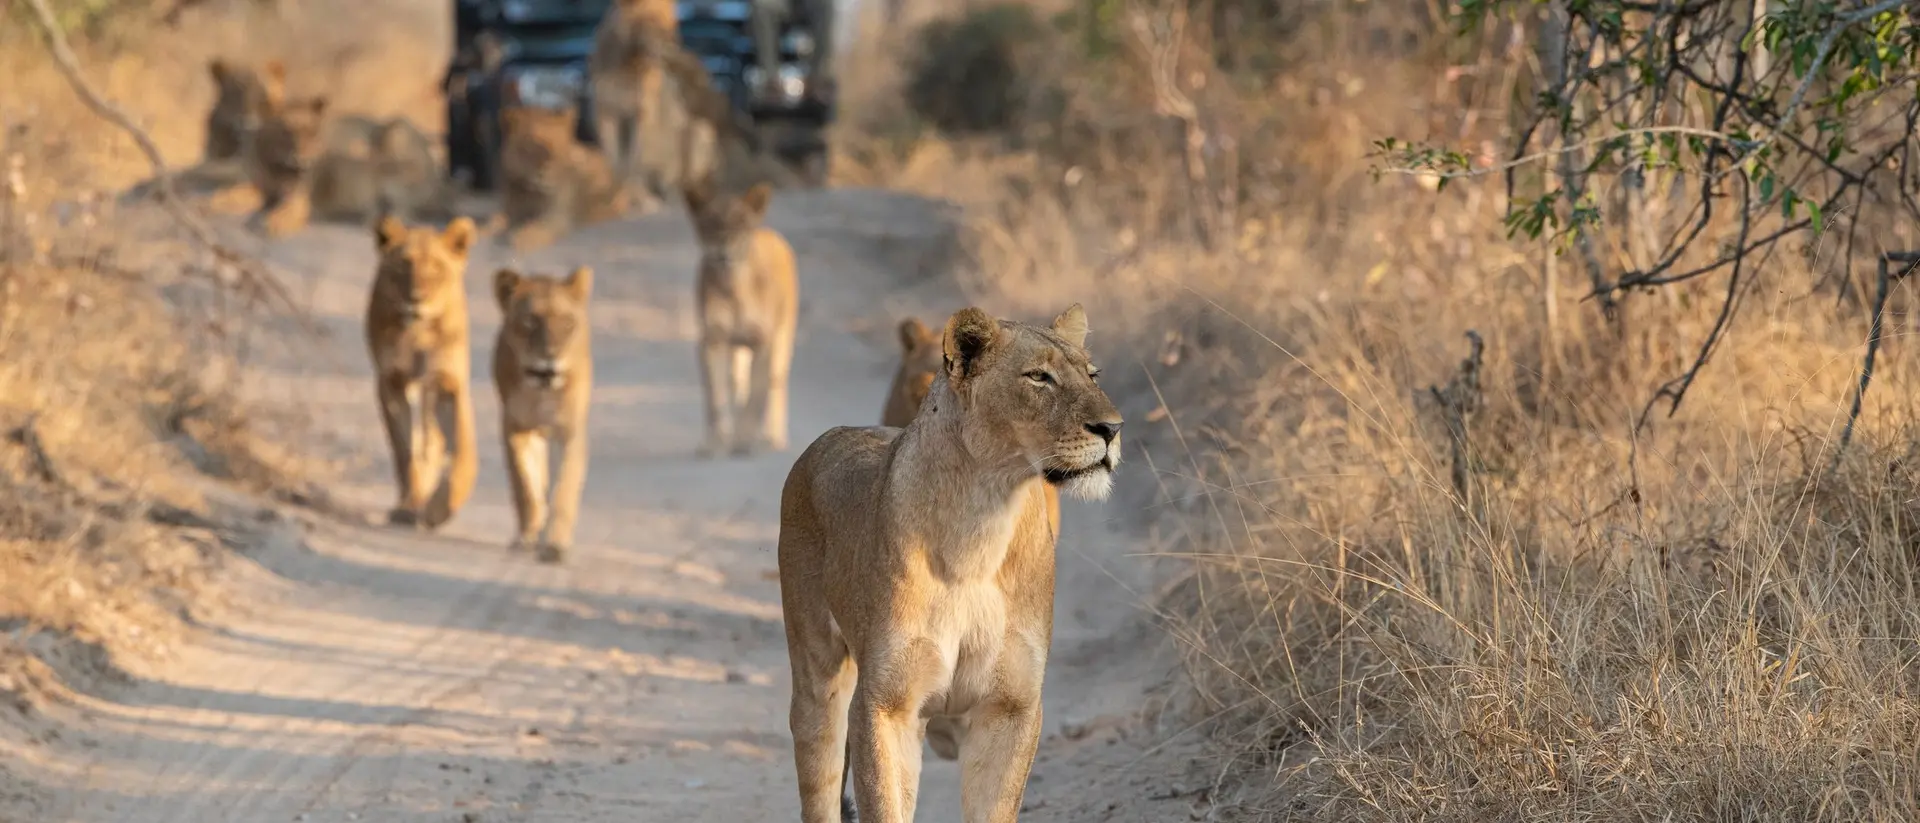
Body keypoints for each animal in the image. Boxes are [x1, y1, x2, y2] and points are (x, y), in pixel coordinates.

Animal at [366, 215, 482, 531]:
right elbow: (404, 451)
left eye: (437, 269)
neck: (418, 330)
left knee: (434, 440)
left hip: (432, 391)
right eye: (403, 265)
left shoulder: (448, 382)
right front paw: (409, 506)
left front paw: (440, 509)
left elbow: (462, 454)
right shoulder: (391, 381)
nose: (416, 298)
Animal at [491, 266, 595, 565]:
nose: (550, 359)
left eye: (567, 322)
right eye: (530, 320)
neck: (541, 389)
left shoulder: (570, 432)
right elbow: (524, 487)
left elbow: (565, 488)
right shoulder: (514, 427)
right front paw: (526, 536)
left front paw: (555, 545)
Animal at [496, 105, 631, 252]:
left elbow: (537, 229)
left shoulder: (557, 217)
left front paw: (520, 238)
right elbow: (498, 222)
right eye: (531, 143)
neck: (532, 192)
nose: (548, 170)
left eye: (558, 143)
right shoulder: (510, 212)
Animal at [687, 178, 797, 458]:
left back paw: (772, 438)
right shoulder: (711, 340)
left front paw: (744, 440)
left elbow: (756, 396)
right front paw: (715, 442)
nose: (722, 249)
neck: (732, 287)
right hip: (736, 348)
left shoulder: (762, 341)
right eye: (711, 222)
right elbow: (715, 396)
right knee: (737, 382)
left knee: (775, 383)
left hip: (782, 338)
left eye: (739, 222)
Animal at [777, 304, 1123, 823]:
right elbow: (885, 805)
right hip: (817, 678)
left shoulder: (1011, 707)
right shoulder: (886, 705)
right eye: (1039, 377)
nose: (1113, 429)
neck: (983, 520)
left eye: (1092, 374)